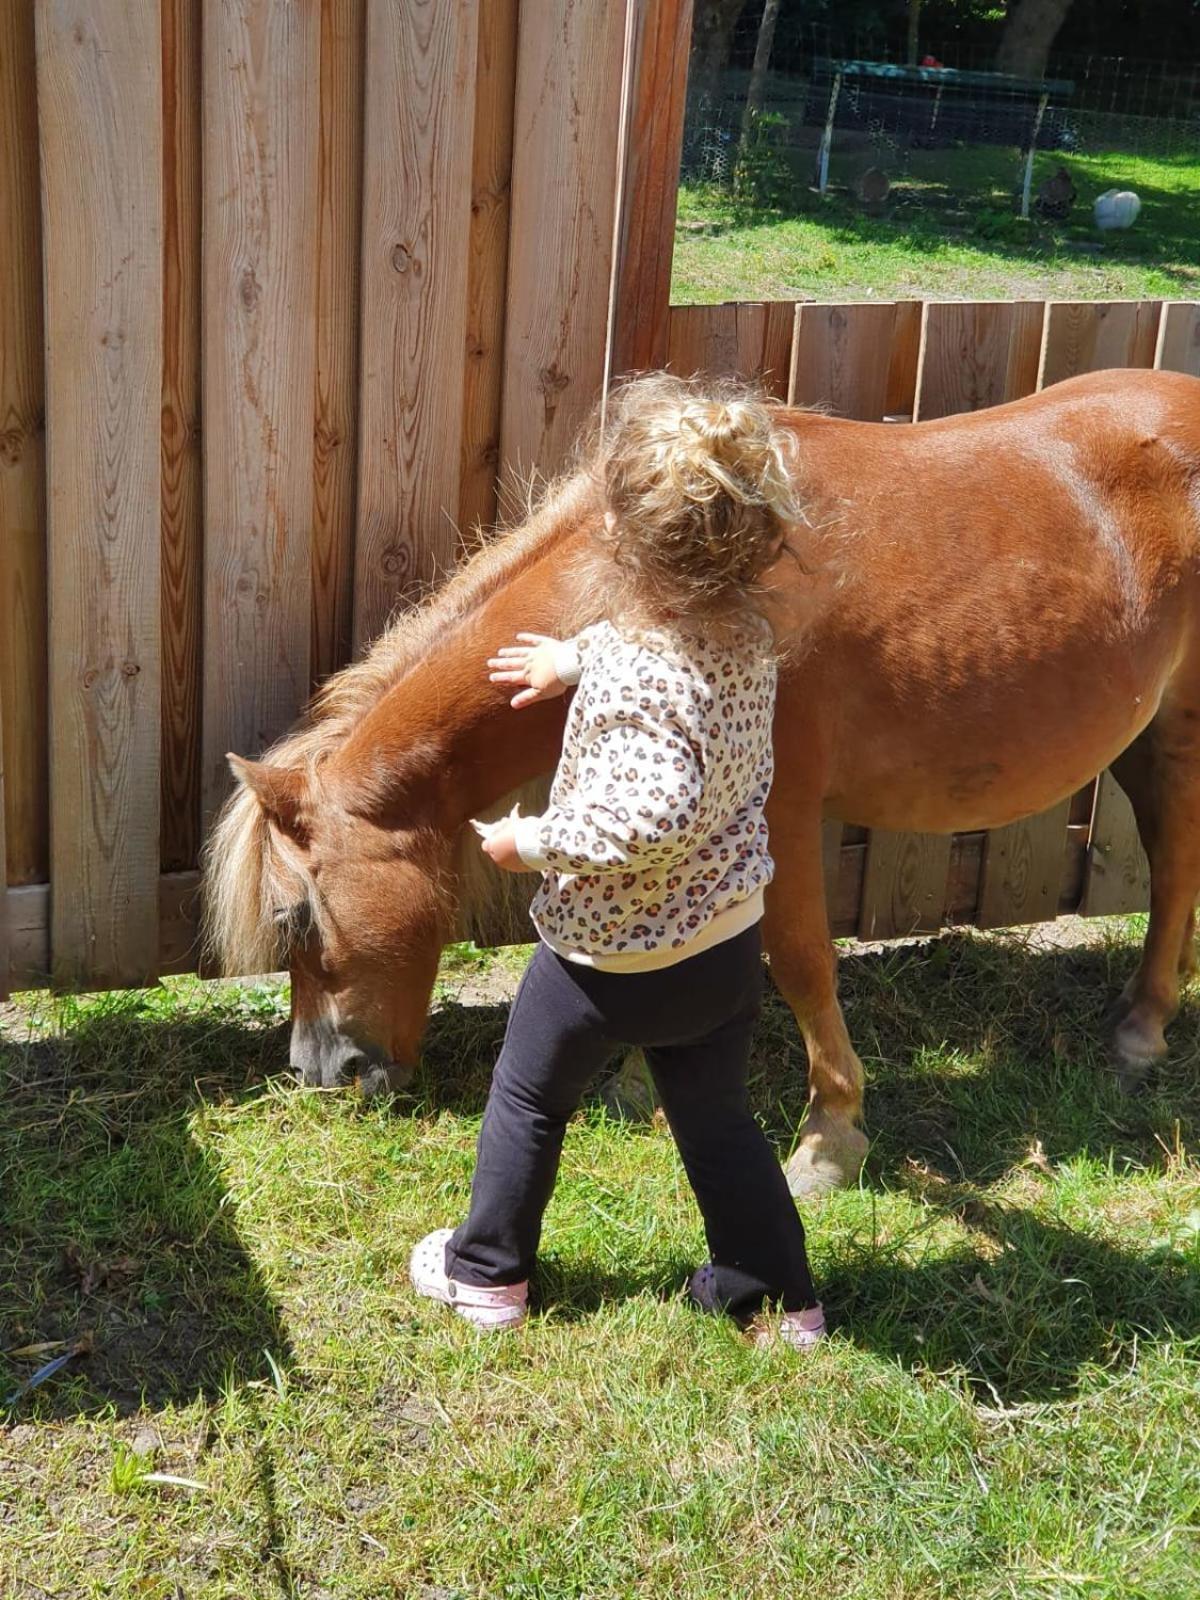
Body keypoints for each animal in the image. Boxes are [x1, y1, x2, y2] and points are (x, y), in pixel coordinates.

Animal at [204, 371, 1200, 1203]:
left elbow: (800, 963)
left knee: (1175, 864)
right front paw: (638, 1081)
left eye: (295, 918)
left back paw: (1143, 1031)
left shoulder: (776, 817)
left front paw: (830, 1138)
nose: (319, 1074)